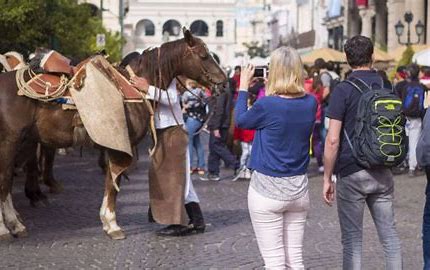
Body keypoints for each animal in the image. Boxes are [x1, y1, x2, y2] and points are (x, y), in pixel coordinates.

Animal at [0, 29, 228, 240]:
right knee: (5, 178)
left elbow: (112, 180)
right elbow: (113, 183)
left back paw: (16, 224)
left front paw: (107, 221)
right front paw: (112, 224)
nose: (224, 81)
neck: (134, 89)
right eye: (203, 55)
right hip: (11, 141)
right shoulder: (118, 146)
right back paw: (7, 227)